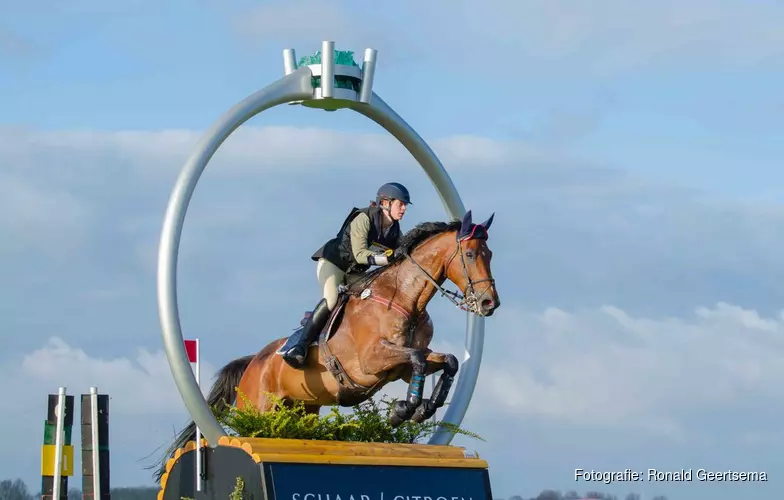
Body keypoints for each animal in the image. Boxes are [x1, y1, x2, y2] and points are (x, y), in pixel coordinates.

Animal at [150, 209, 500, 482]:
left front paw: (423, 408)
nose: (488, 303)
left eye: (490, 254)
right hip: (259, 411)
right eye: (470, 255)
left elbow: (446, 361)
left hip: (302, 412)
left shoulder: (400, 367)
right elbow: (415, 357)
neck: (404, 298)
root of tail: (253, 362)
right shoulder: (372, 361)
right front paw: (403, 410)